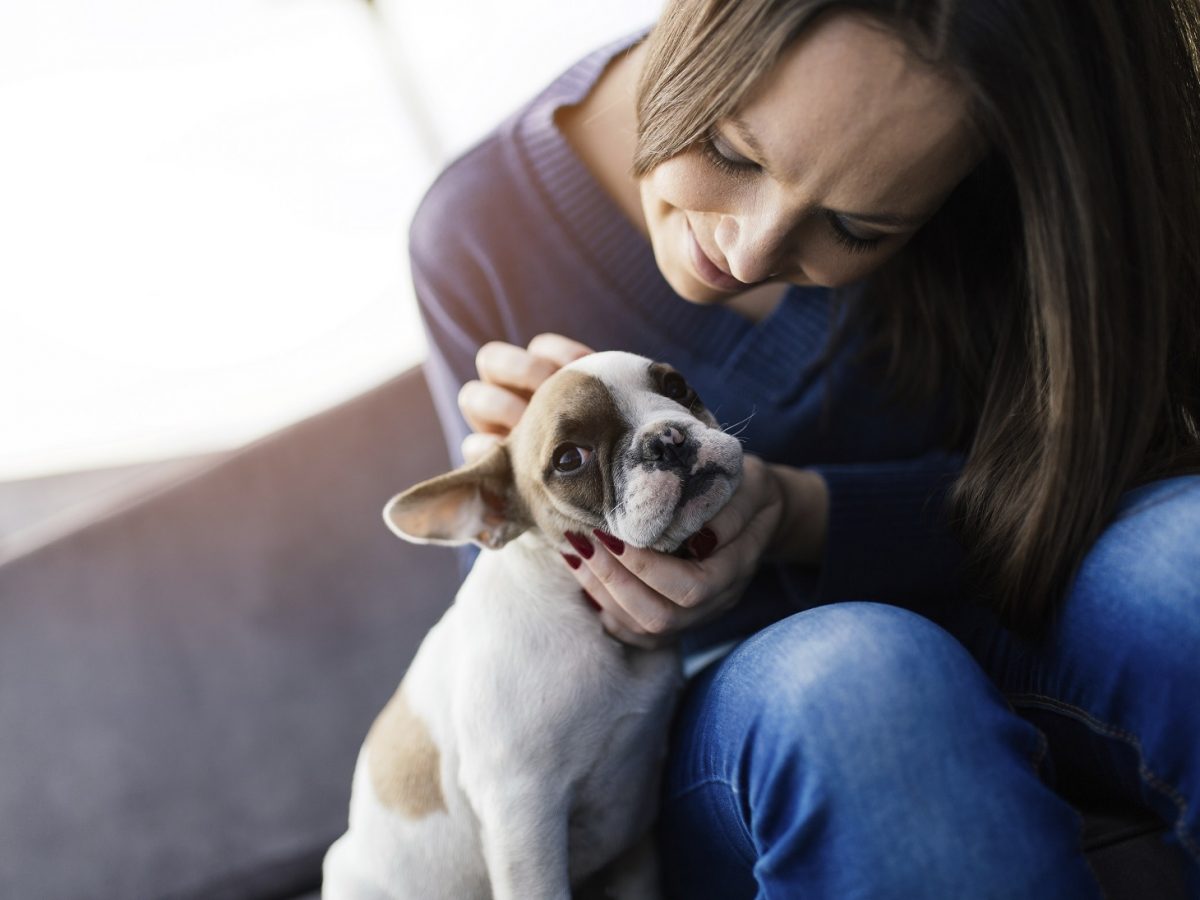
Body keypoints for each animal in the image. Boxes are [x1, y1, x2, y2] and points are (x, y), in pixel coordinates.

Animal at [324, 350, 744, 900]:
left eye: (677, 386)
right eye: (568, 460)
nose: (666, 438)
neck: (581, 610)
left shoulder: (633, 846)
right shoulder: (523, 814)